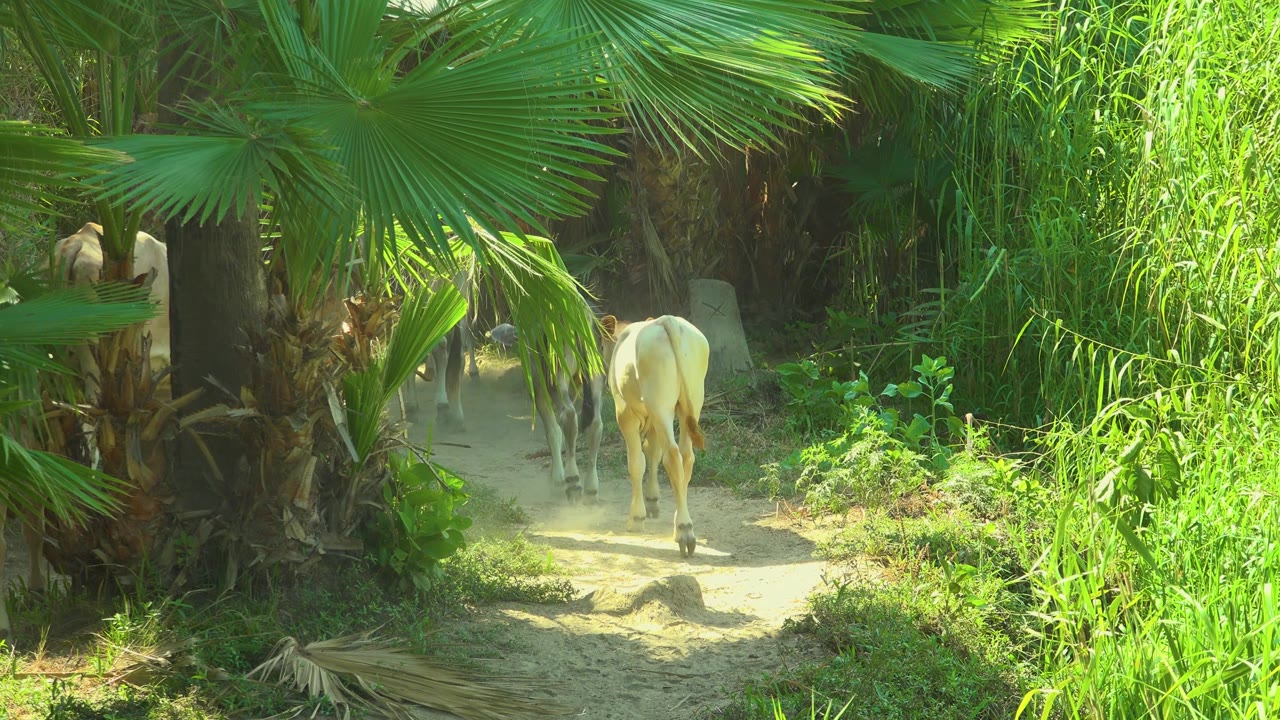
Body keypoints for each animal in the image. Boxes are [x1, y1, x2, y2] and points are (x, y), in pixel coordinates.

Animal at [599, 314, 709, 557]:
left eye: (601, 345)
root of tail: (668, 320)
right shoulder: (651, 421)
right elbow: (652, 453)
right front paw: (651, 501)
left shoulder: (625, 412)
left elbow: (637, 462)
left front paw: (637, 517)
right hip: (691, 403)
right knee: (686, 456)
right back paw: (681, 524)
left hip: (661, 406)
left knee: (673, 455)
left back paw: (684, 530)